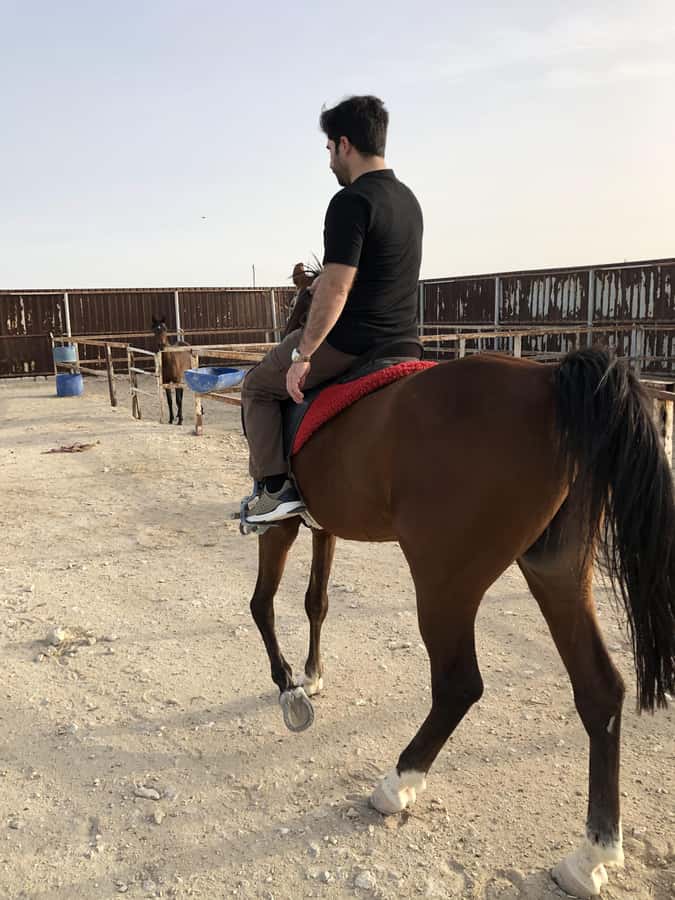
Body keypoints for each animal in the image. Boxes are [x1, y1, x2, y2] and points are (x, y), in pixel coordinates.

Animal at [246, 316, 675, 897]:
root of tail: (547, 382)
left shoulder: (282, 525)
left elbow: (263, 604)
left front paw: (289, 685)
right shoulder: (322, 526)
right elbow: (317, 601)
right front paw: (310, 676)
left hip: (445, 581)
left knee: (459, 684)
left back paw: (397, 784)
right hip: (557, 571)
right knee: (600, 690)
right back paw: (591, 856)